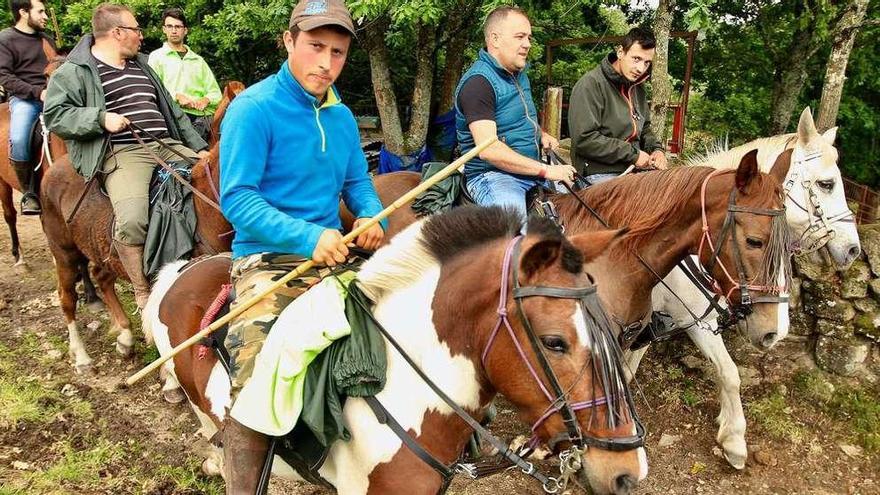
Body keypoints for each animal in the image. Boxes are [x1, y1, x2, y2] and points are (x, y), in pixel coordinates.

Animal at [628, 106, 864, 470]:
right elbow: (727, 372)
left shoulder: (677, 318)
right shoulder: (692, 320)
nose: (853, 250)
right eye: (827, 184)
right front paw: (735, 437)